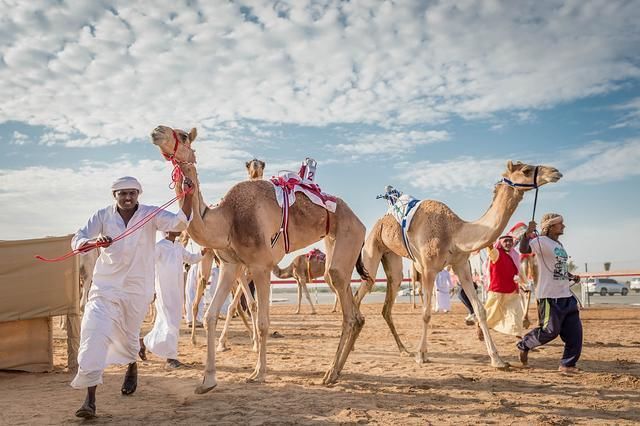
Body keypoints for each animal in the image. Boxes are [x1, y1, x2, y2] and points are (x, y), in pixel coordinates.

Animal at [151, 124, 370, 392]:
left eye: (183, 136)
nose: (157, 130)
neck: (226, 220)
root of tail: (359, 221)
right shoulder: (230, 265)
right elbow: (211, 315)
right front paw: (208, 380)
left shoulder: (260, 266)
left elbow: (264, 321)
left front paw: (258, 373)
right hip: (334, 245)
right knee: (353, 309)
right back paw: (336, 372)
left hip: (348, 235)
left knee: (348, 312)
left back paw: (329, 373)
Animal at [356, 160, 560, 366]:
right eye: (526, 170)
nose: (555, 172)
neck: (455, 233)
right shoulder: (429, 269)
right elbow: (426, 313)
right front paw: (421, 355)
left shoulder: (461, 266)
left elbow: (480, 310)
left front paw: (497, 359)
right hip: (371, 250)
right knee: (360, 294)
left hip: (392, 260)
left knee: (387, 304)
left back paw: (403, 350)